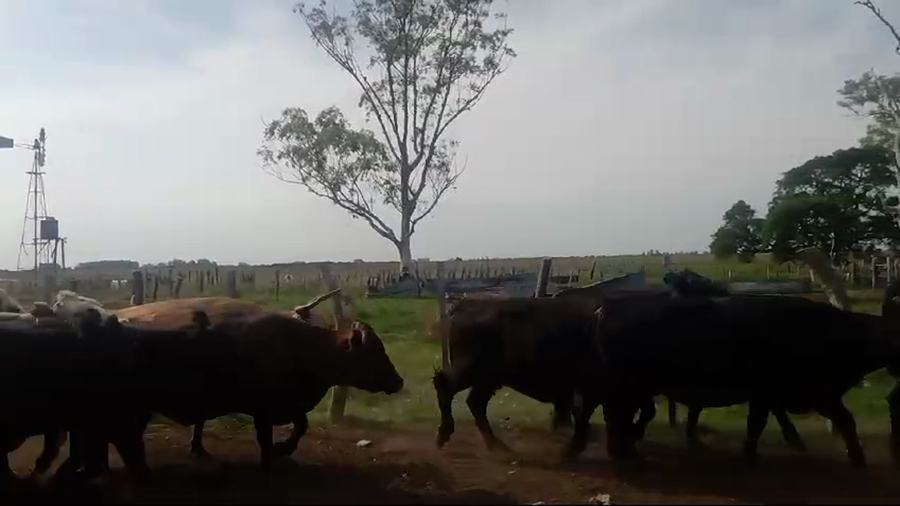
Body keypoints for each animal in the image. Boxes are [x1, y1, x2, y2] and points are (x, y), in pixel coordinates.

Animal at [575, 286, 900, 470]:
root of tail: (606, 308)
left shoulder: (816, 393)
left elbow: (845, 421)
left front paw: (857, 458)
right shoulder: (780, 393)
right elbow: (757, 424)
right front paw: (751, 456)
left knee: (616, 415)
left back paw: (622, 450)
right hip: (625, 386)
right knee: (613, 414)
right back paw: (621, 451)